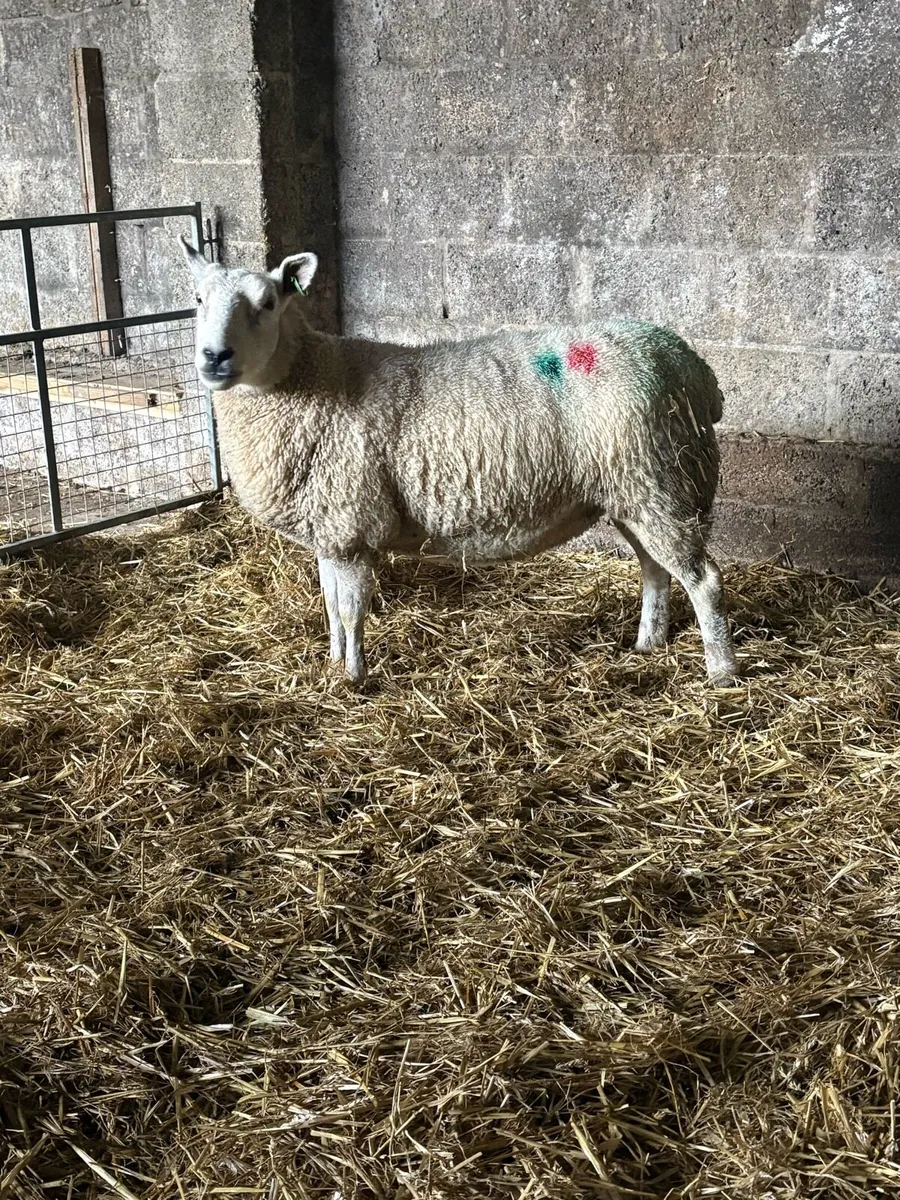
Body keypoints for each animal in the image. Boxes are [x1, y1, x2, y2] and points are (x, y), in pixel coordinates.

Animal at [180, 237, 739, 688]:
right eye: (197, 298)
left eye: (269, 303)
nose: (214, 357)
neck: (310, 379)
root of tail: (691, 363)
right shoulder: (332, 532)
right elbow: (331, 609)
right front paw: (333, 663)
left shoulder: (352, 526)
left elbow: (351, 611)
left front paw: (354, 678)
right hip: (637, 492)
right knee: (656, 569)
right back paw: (649, 642)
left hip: (662, 482)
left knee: (703, 580)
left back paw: (723, 672)